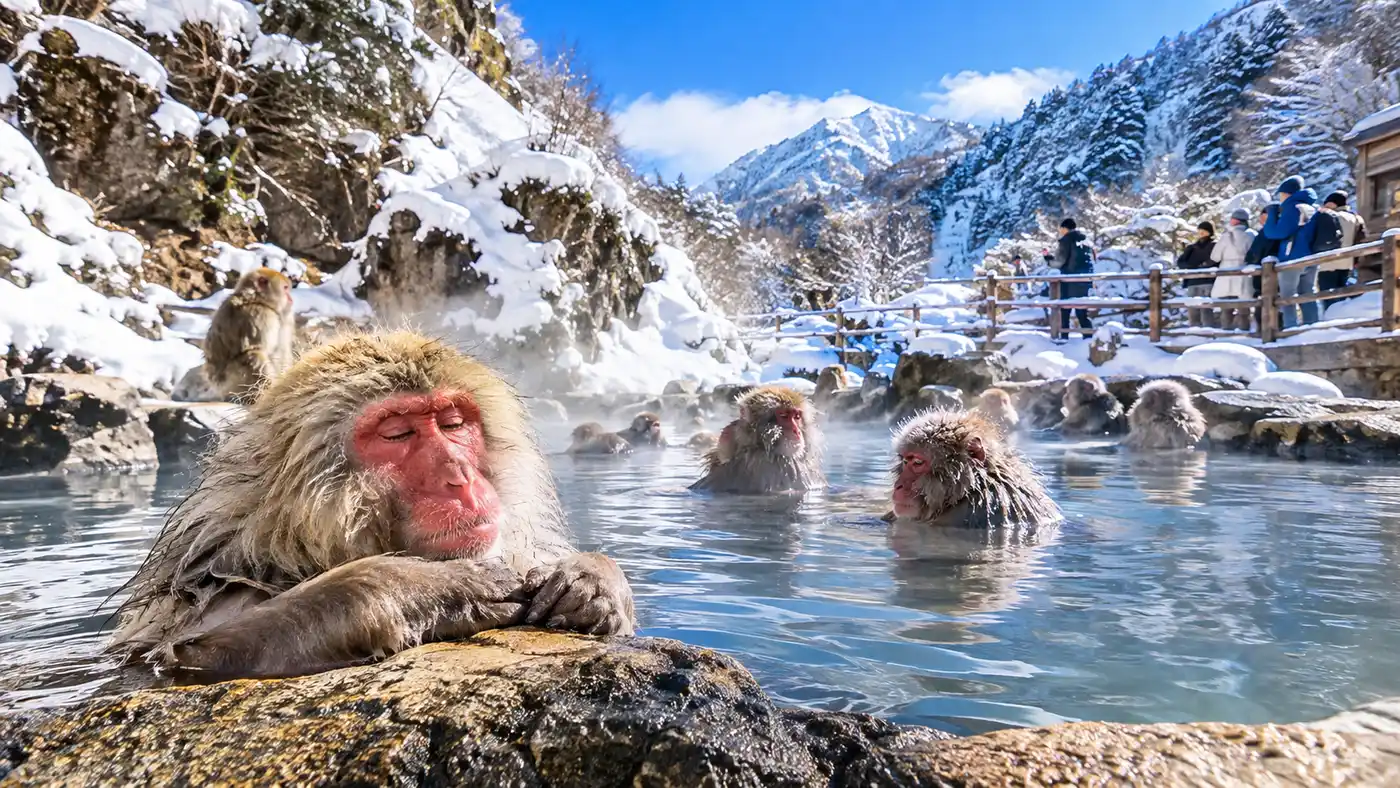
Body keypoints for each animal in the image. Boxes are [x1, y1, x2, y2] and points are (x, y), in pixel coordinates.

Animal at [108, 331, 635, 680]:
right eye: (397, 433)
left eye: (453, 422)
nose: (459, 474)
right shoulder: (213, 588)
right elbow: (184, 653)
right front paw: (428, 588)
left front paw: (593, 578)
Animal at [203, 267, 296, 403]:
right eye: (285, 288)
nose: (290, 298)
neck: (257, 300)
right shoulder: (260, 315)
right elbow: (259, 348)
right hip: (231, 384)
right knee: (254, 354)